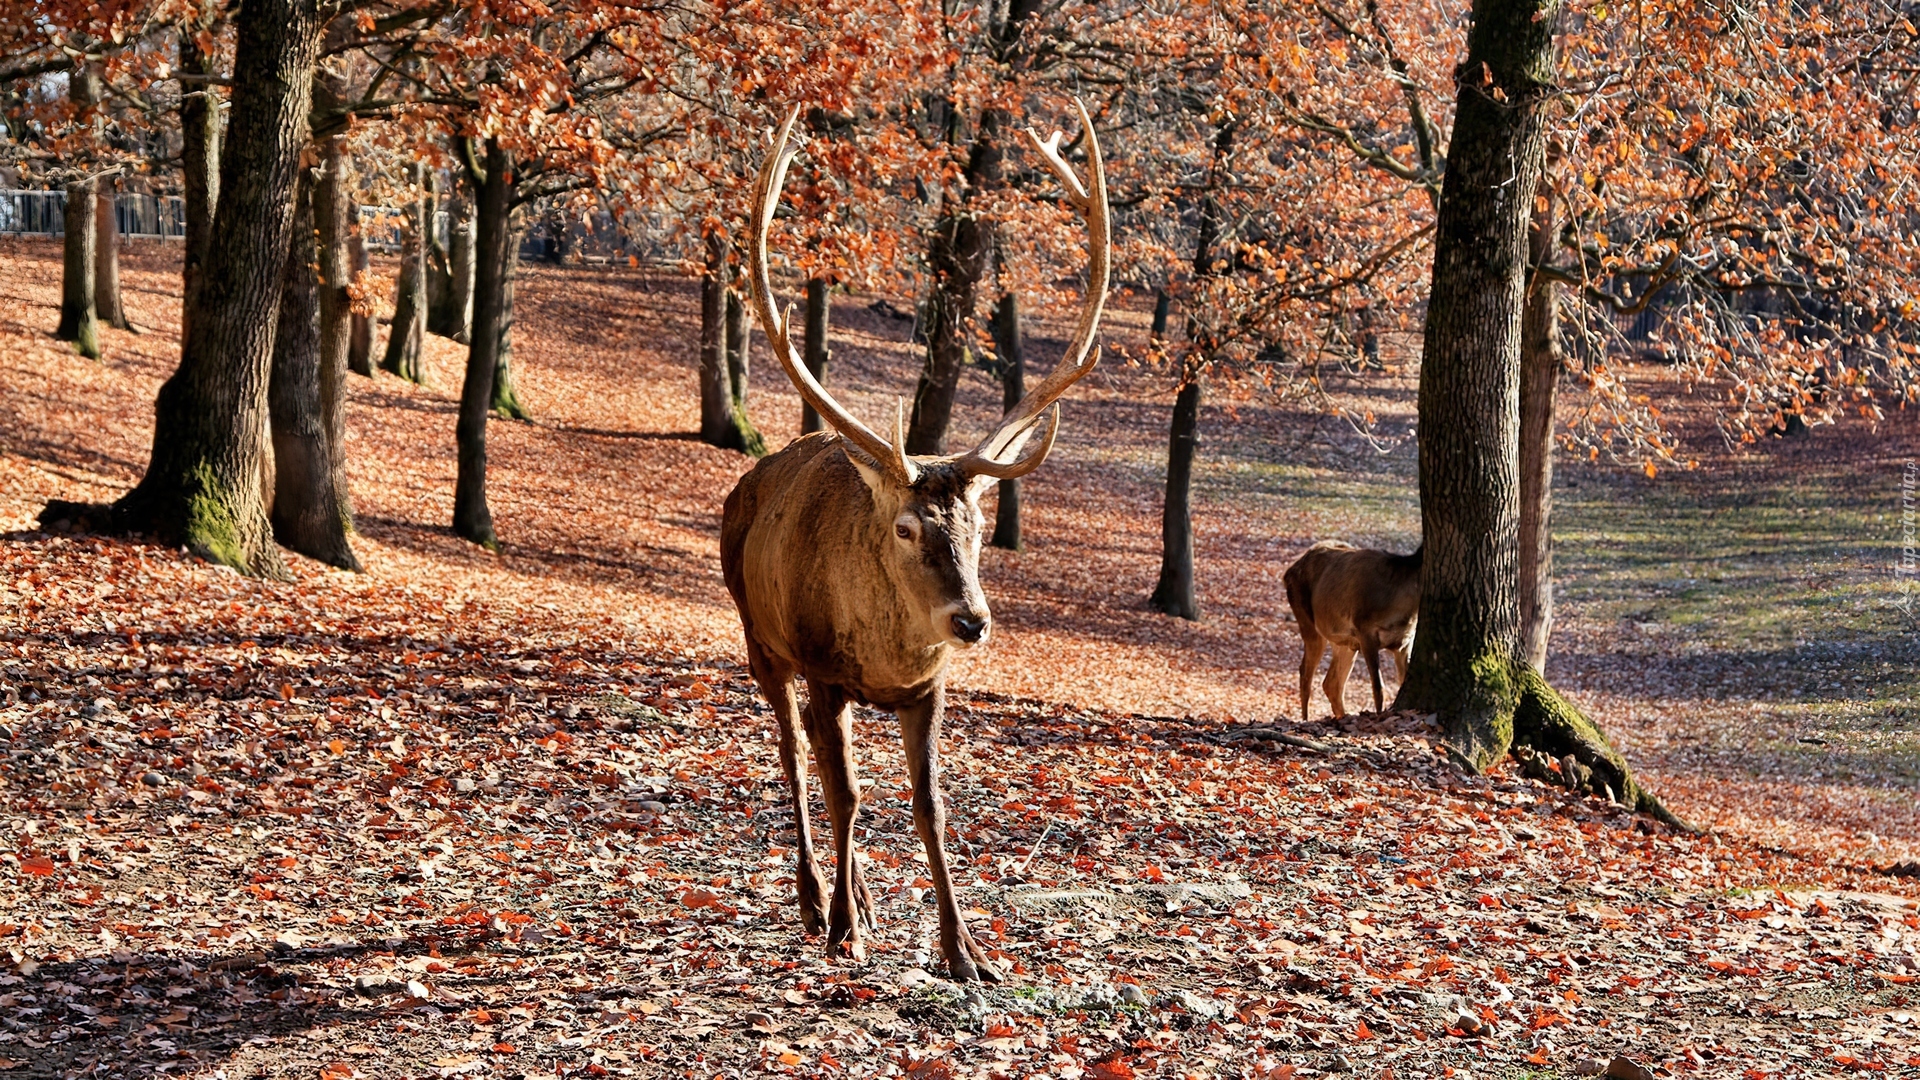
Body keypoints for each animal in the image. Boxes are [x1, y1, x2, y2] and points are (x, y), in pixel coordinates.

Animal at [721, 100, 1113, 976]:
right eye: (903, 527)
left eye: (977, 526)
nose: (971, 621)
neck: (884, 656)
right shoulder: (824, 669)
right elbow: (846, 791)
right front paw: (846, 930)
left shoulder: (928, 687)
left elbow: (929, 802)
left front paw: (964, 948)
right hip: (760, 638)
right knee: (793, 759)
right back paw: (817, 900)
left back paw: (858, 894)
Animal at [1282, 538, 1420, 722]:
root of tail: (1287, 573)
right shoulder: (1365, 630)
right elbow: (1378, 688)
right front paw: (1379, 716)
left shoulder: (1405, 642)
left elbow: (1402, 680)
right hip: (1307, 622)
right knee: (1305, 673)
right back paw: (1305, 719)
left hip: (1345, 642)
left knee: (1331, 683)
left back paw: (1342, 716)